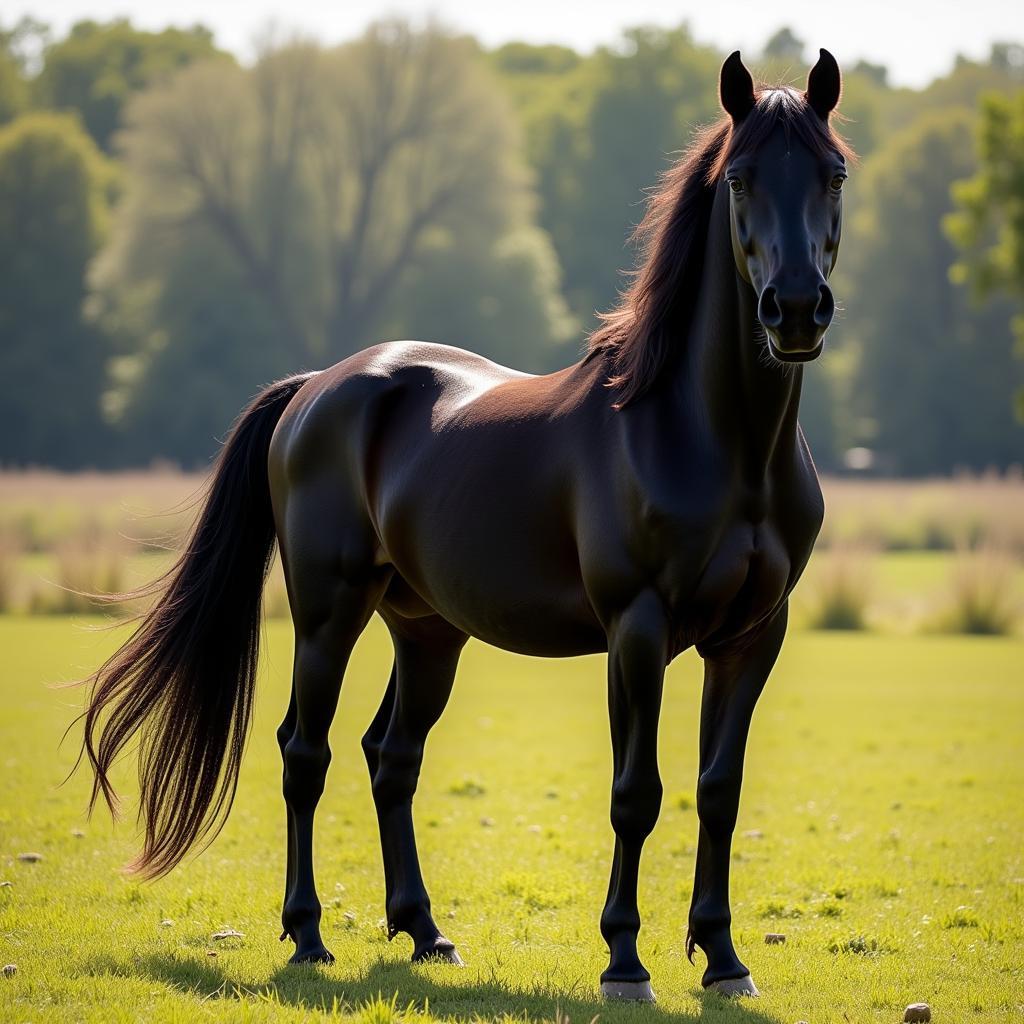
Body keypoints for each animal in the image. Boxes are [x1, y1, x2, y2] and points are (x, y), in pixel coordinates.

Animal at [77, 49, 847, 999]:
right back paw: (308, 934)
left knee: (391, 755)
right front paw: (625, 961)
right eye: (741, 179)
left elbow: (719, 789)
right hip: (328, 614)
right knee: (306, 752)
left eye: (834, 173)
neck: (711, 437)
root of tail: (317, 387)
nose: (797, 309)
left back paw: (423, 929)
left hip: (427, 630)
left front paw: (724, 957)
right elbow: (637, 791)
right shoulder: (638, 631)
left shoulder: (751, 636)